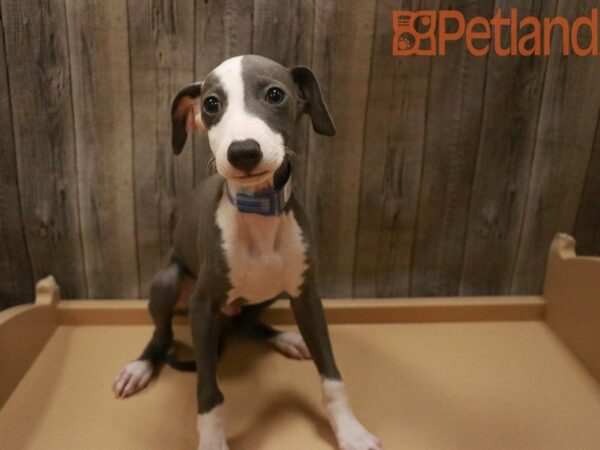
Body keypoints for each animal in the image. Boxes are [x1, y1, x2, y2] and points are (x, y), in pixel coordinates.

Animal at [113, 53, 380, 450]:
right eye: (210, 104)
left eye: (275, 94)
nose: (243, 152)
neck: (258, 210)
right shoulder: (202, 307)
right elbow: (208, 393)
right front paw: (212, 442)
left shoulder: (307, 296)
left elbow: (332, 376)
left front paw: (349, 431)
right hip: (168, 283)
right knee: (162, 334)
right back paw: (140, 366)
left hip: (268, 292)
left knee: (247, 322)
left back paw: (285, 338)